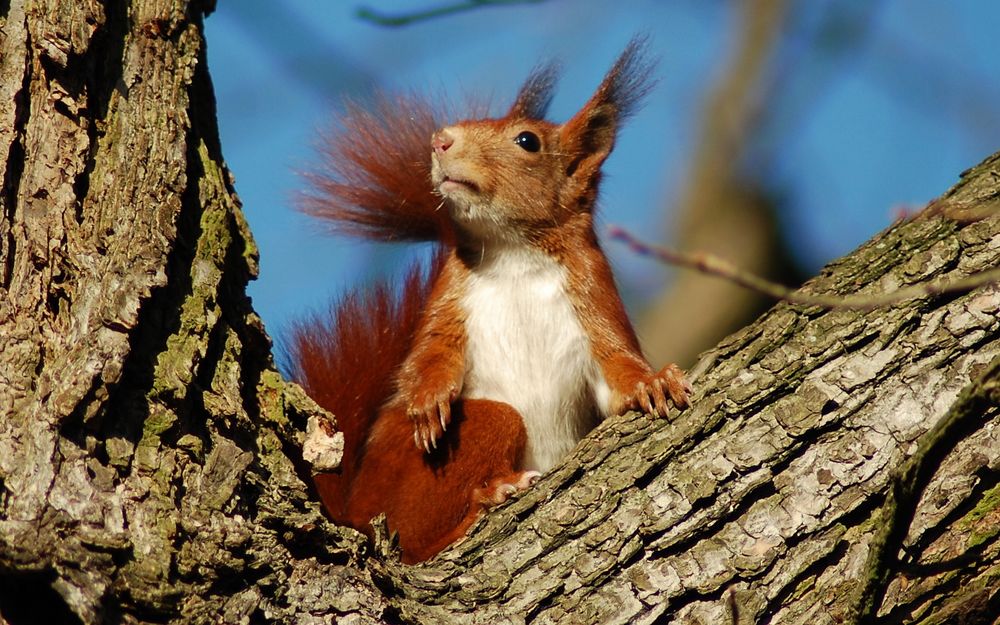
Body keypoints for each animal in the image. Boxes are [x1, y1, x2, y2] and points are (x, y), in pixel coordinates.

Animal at [290, 38, 692, 564]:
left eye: (527, 141)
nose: (441, 141)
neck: (514, 254)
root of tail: (353, 509)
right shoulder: (449, 298)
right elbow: (428, 354)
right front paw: (428, 397)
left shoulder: (594, 296)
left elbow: (617, 370)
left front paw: (654, 383)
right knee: (413, 541)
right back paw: (490, 495)